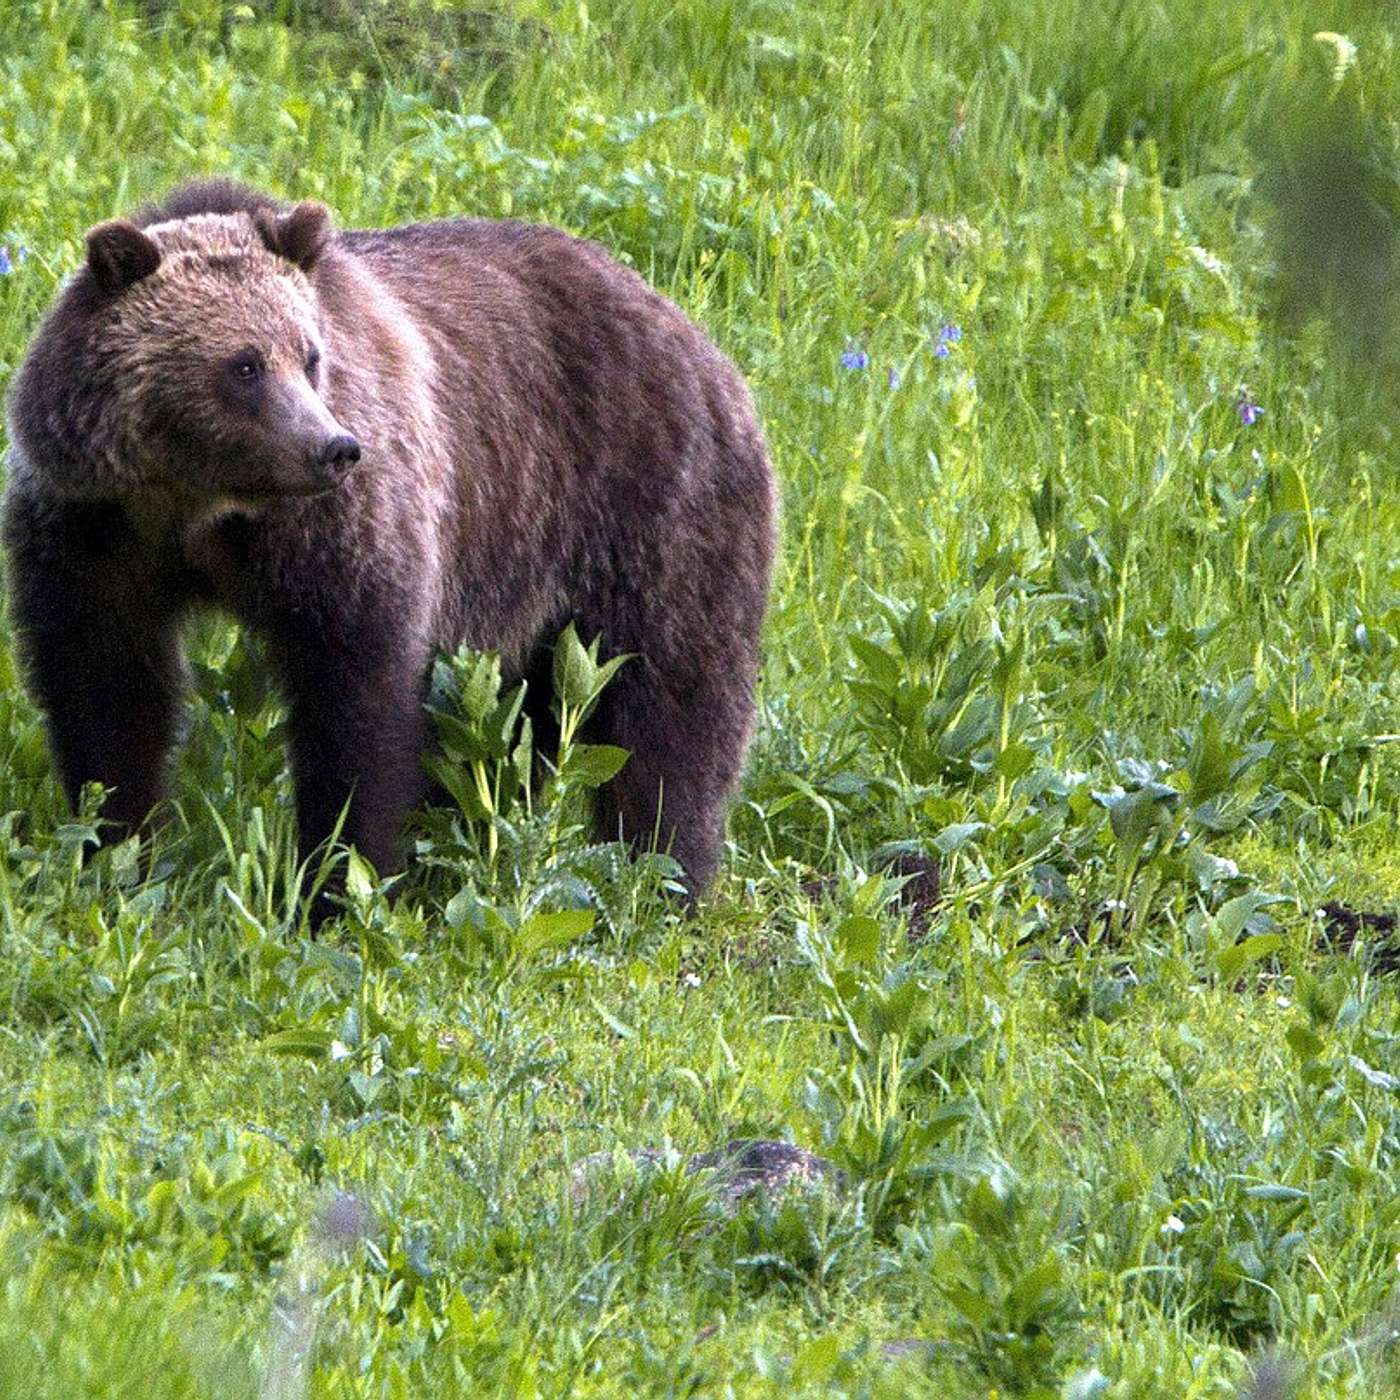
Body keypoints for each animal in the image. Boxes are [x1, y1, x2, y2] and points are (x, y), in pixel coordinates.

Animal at [2, 179, 776, 914]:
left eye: (309, 356)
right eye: (245, 365)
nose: (333, 447)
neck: (198, 505)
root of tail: (693, 331)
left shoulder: (337, 535)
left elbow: (357, 699)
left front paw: (340, 883)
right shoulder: (94, 533)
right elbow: (106, 690)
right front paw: (116, 850)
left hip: (649, 507)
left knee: (671, 702)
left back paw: (663, 874)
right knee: (521, 722)